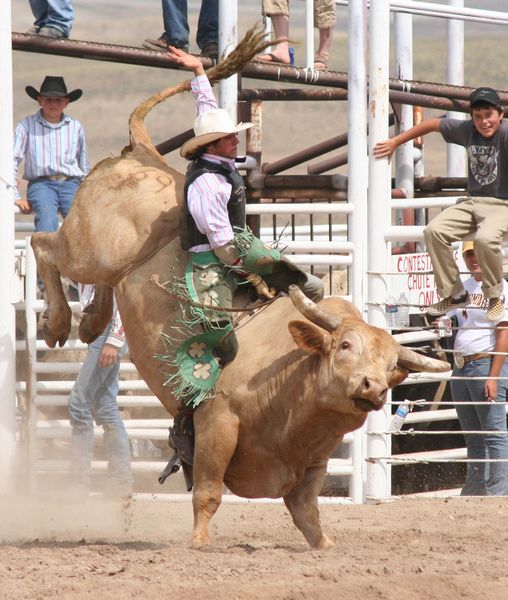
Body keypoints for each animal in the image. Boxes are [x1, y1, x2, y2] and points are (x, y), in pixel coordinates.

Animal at [29, 30, 448, 552]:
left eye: (393, 366)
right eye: (345, 346)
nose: (372, 387)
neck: (292, 376)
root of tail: (142, 153)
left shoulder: (313, 460)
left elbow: (306, 510)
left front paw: (325, 546)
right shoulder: (216, 424)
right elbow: (208, 491)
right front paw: (198, 543)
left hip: (108, 267)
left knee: (95, 286)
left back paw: (90, 323)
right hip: (86, 248)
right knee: (44, 244)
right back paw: (59, 321)